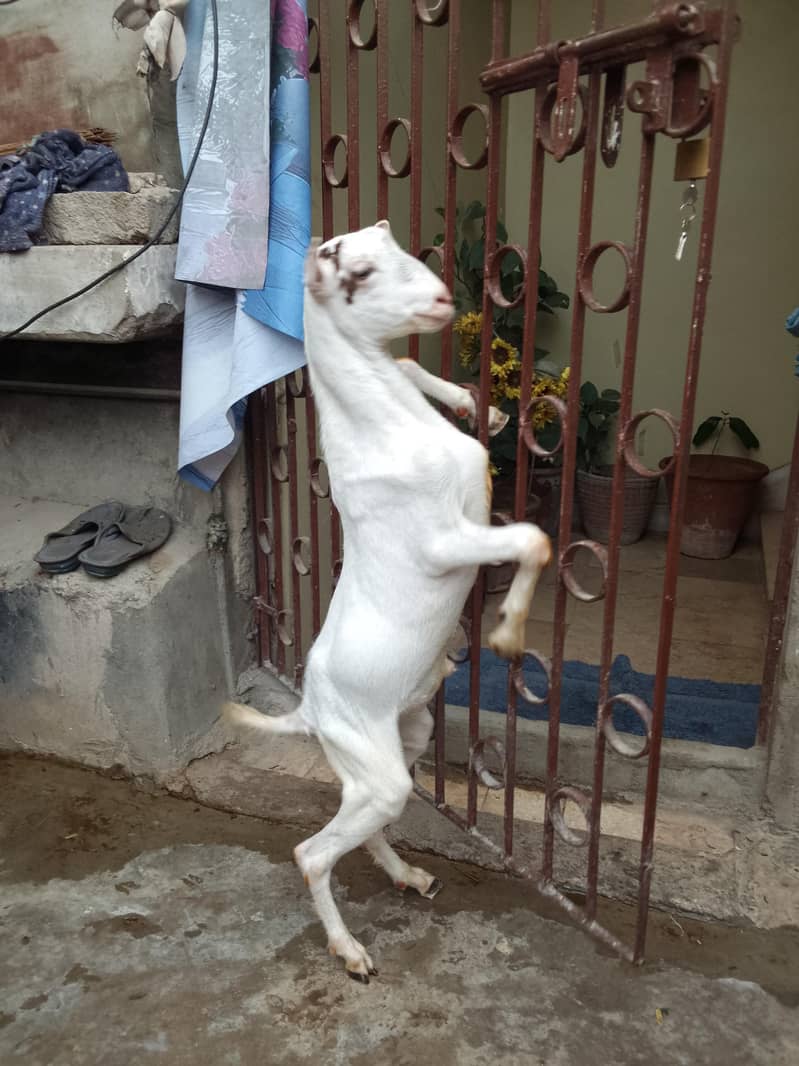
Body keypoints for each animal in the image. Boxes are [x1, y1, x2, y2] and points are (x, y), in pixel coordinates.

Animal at [226, 221, 551, 982]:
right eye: (363, 272)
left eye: (401, 250)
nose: (441, 300)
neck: (386, 429)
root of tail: (310, 709)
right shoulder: (445, 542)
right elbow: (534, 539)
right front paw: (507, 633)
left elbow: (403, 365)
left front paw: (480, 407)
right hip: (376, 775)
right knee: (312, 853)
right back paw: (350, 951)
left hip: (404, 741)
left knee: (363, 826)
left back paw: (407, 875)